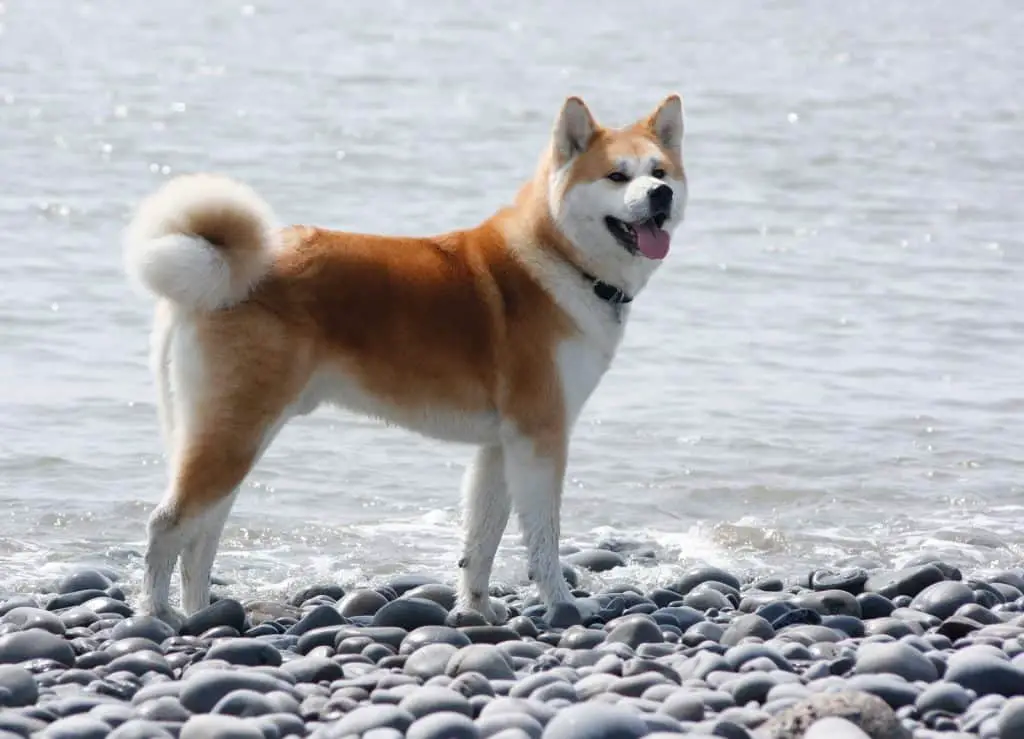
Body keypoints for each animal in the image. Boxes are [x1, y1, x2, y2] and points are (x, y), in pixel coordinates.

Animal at [125, 92, 688, 622]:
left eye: (659, 172)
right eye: (617, 176)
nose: (659, 194)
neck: (562, 262)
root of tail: (221, 269)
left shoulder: (500, 446)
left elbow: (481, 540)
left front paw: (477, 609)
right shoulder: (540, 438)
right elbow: (544, 539)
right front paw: (562, 604)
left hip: (231, 436)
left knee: (202, 537)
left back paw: (201, 613)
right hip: (235, 434)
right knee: (166, 525)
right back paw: (158, 614)